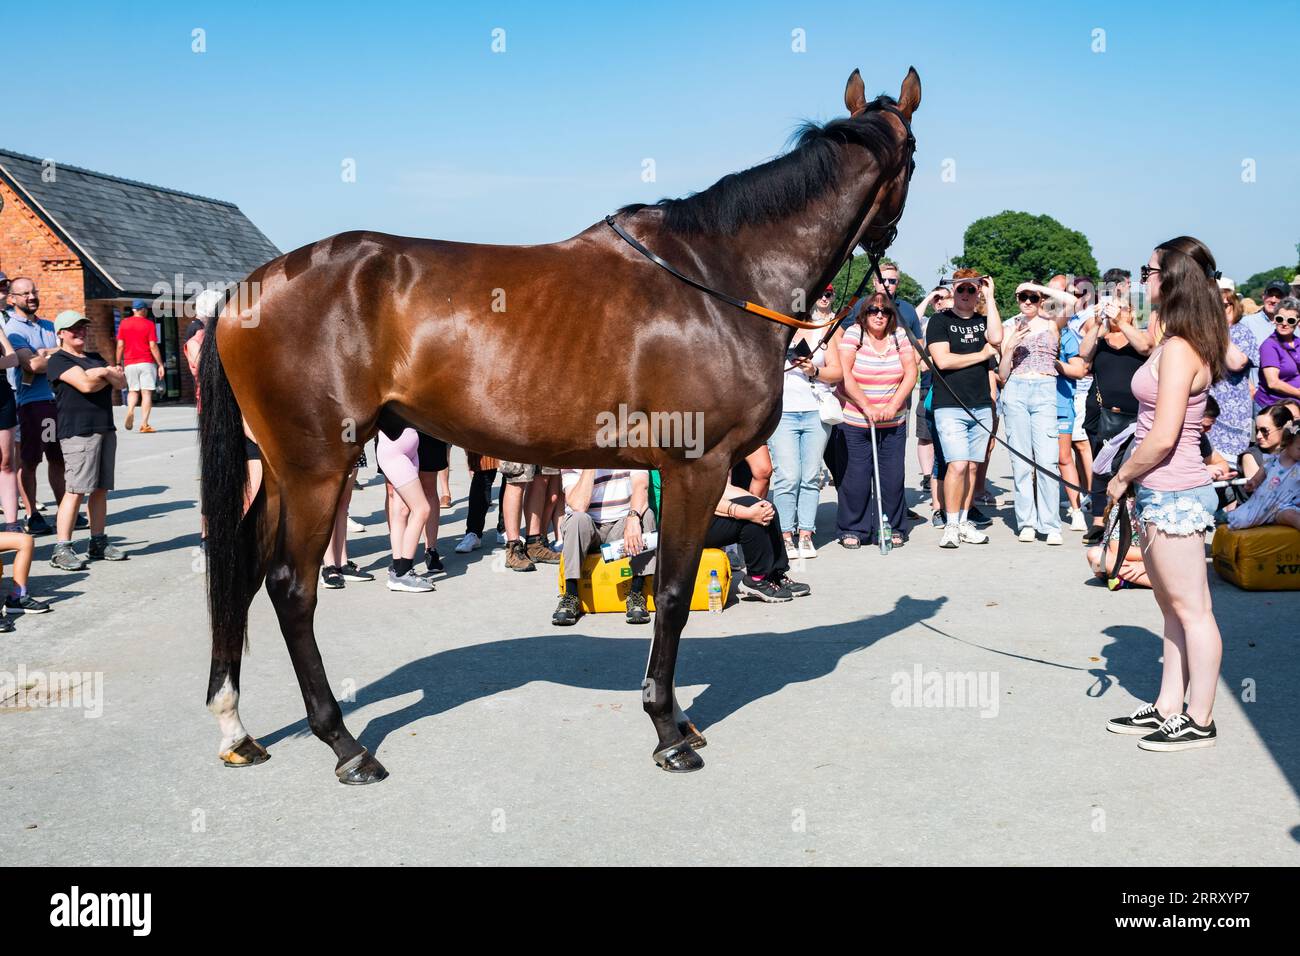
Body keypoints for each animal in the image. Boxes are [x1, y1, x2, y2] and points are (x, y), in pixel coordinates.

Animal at [197, 67, 920, 785]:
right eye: (914, 154)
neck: (721, 277)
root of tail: (245, 291)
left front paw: (679, 719)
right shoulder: (700, 468)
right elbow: (674, 592)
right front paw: (668, 729)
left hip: (283, 471)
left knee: (245, 567)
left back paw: (237, 729)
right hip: (318, 468)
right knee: (292, 587)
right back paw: (345, 744)